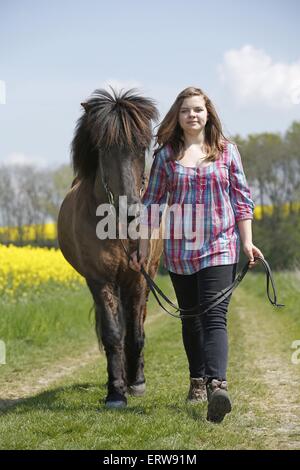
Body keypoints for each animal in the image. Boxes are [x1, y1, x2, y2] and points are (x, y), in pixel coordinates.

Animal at [57, 87, 163, 408]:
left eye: (141, 148)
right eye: (104, 150)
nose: (132, 213)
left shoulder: (139, 278)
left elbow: (137, 333)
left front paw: (136, 383)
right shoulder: (100, 279)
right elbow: (114, 334)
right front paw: (116, 391)